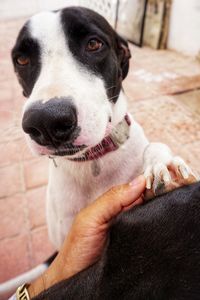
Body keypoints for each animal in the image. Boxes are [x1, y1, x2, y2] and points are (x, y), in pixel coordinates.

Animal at [1, 6, 198, 298]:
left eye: (94, 44)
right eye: (22, 59)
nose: (46, 121)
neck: (93, 165)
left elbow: (156, 149)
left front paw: (164, 165)